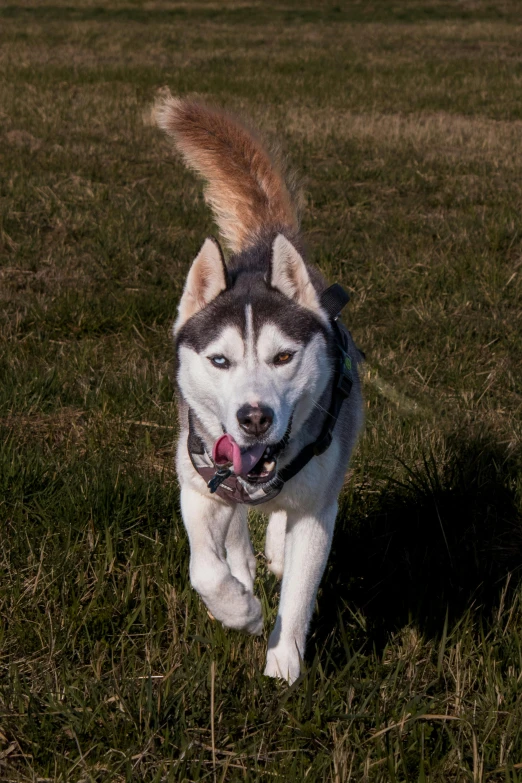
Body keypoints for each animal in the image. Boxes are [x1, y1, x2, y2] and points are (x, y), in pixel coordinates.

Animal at [152, 93, 362, 688]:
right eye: (220, 360)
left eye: (283, 357)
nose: (254, 417)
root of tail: (264, 244)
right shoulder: (199, 480)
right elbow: (205, 567)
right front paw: (240, 610)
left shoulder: (319, 508)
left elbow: (300, 587)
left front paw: (284, 664)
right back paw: (244, 566)